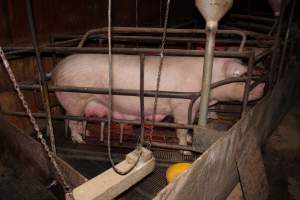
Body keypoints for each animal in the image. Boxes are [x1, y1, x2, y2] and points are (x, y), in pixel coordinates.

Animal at [51, 54, 264, 152]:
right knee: (72, 120)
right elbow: (182, 127)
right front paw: (186, 149)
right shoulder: (181, 105)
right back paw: (80, 140)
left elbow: (190, 125)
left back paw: (86, 133)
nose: (263, 85)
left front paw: (189, 141)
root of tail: (56, 70)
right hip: (74, 99)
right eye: (242, 74)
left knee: (80, 120)